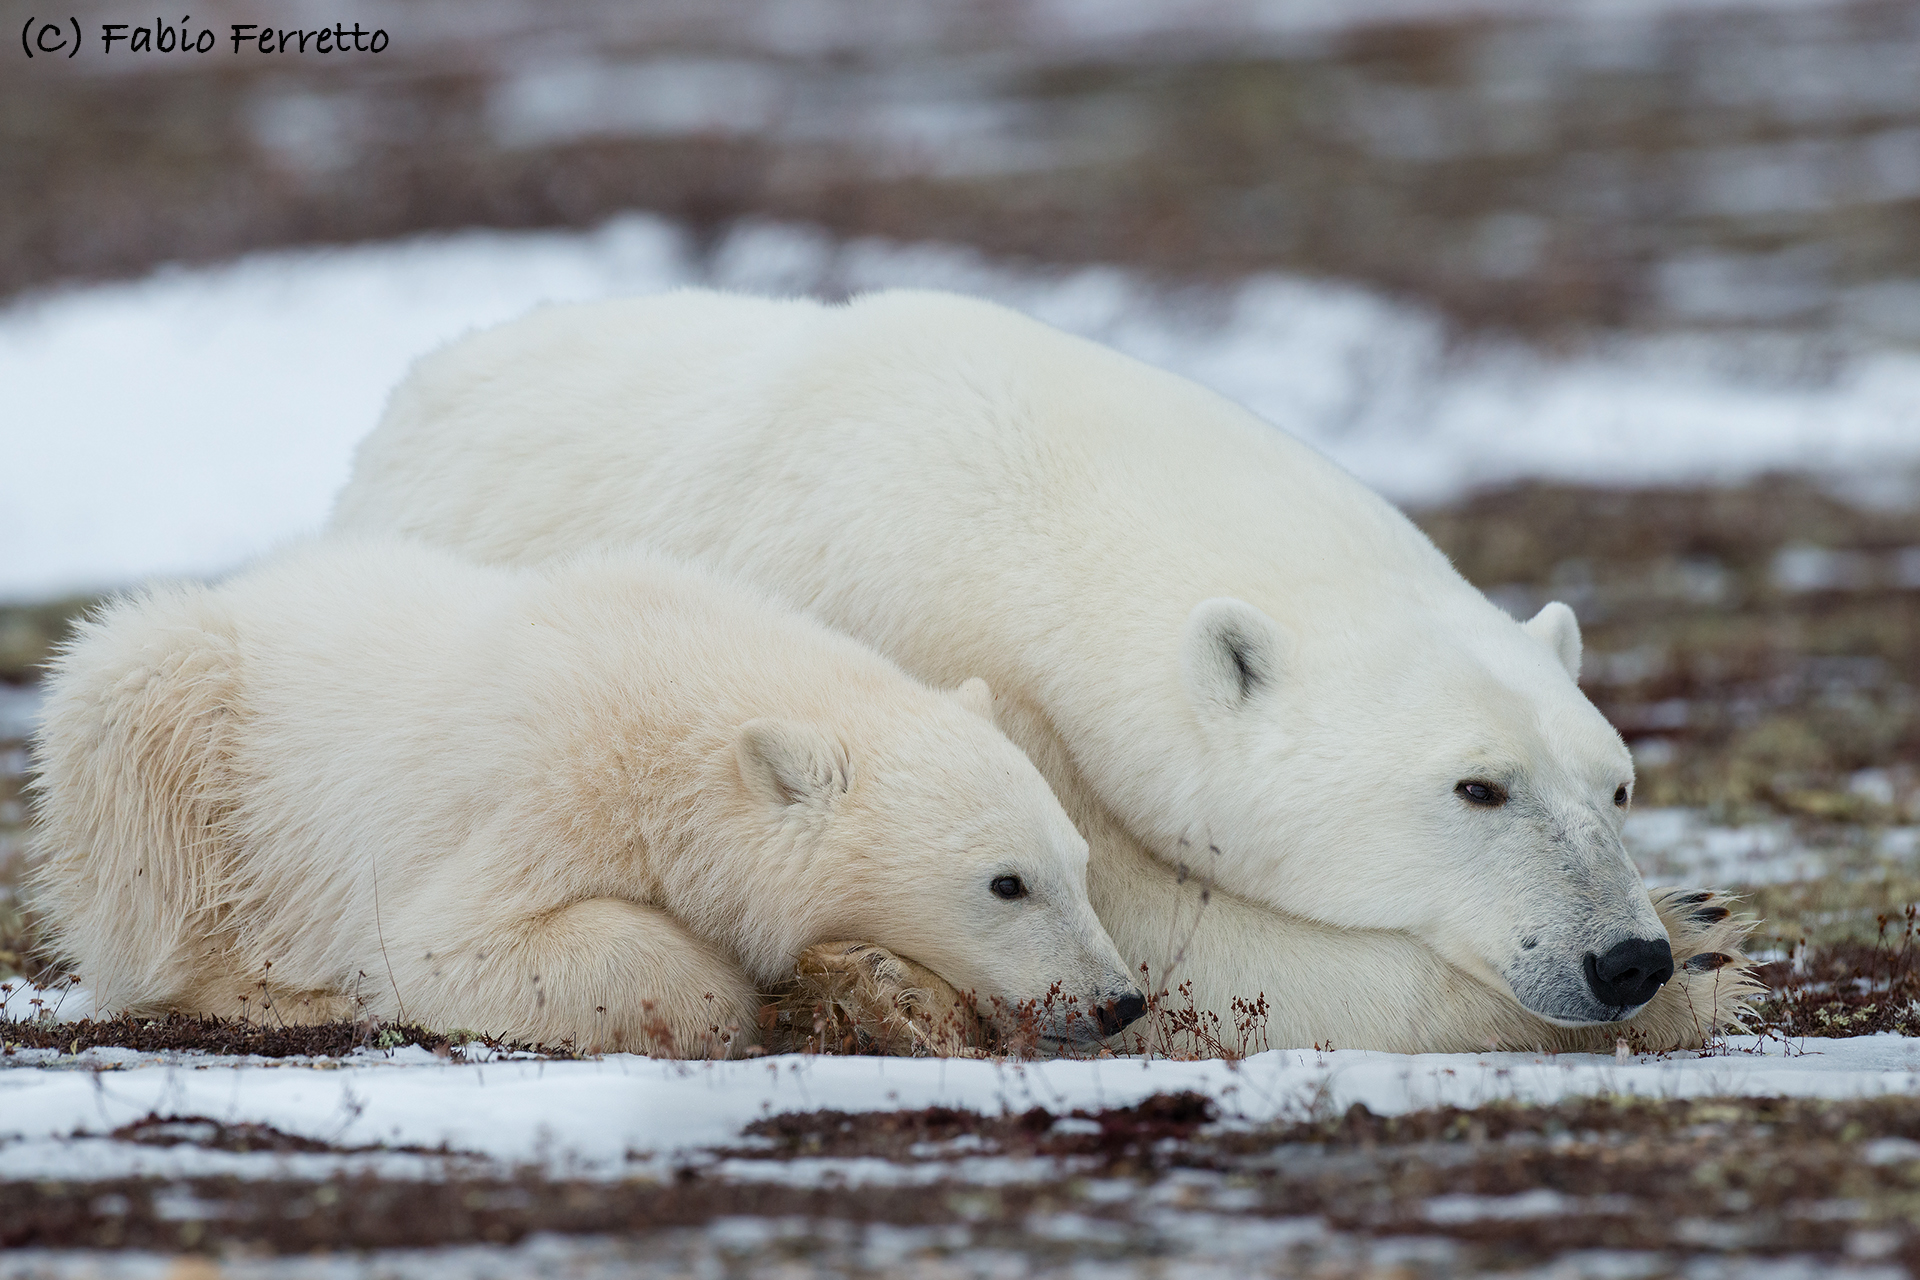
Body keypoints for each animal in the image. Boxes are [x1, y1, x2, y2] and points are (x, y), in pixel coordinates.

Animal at [30, 537, 1136, 1051]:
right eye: (1006, 882)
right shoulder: (543, 794)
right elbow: (449, 947)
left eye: (1080, 864)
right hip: (194, 724)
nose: (1120, 999)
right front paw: (749, 992)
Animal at [330, 289, 1758, 1051]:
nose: (1622, 957)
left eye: (1618, 785)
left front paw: (1697, 927)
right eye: (1478, 786)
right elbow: (1188, 958)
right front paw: (1690, 967)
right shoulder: (948, 677)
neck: (1016, 499)